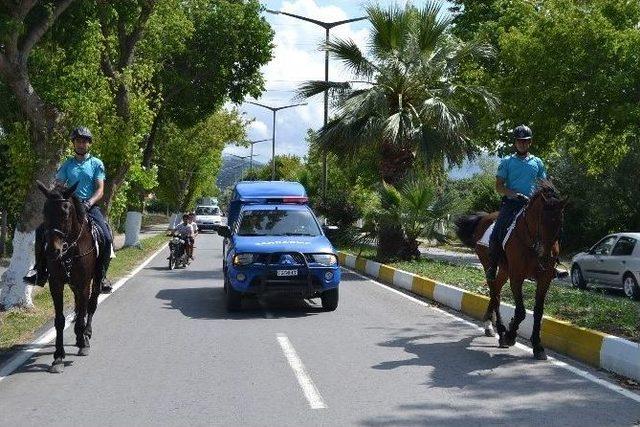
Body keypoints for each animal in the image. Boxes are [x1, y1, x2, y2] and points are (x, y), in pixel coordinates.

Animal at [37, 181, 102, 374]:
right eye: (44, 212)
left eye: (65, 213)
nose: (53, 251)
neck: (70, 248)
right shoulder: (56, 284)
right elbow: (60, 320)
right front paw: (58, 357)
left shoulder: (84, 284)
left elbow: (83, 311)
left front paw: (83, 343)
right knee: (80, 305)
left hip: (95, 280)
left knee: (90, 305)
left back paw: (85, 334)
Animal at [456, 181, 564, 362]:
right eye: (542, 222)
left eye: (560, 225)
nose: (546, 256)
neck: (530, 240)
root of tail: (484, 218)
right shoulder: (517, 277)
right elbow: (520, 311)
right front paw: (511, 335)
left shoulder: (544, 279)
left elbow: (538, 312)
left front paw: (537, 346)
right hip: (489, 266)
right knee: (495, 294)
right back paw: (500, 331)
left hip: (504, 270)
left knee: (496, 291)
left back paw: (491, 327)